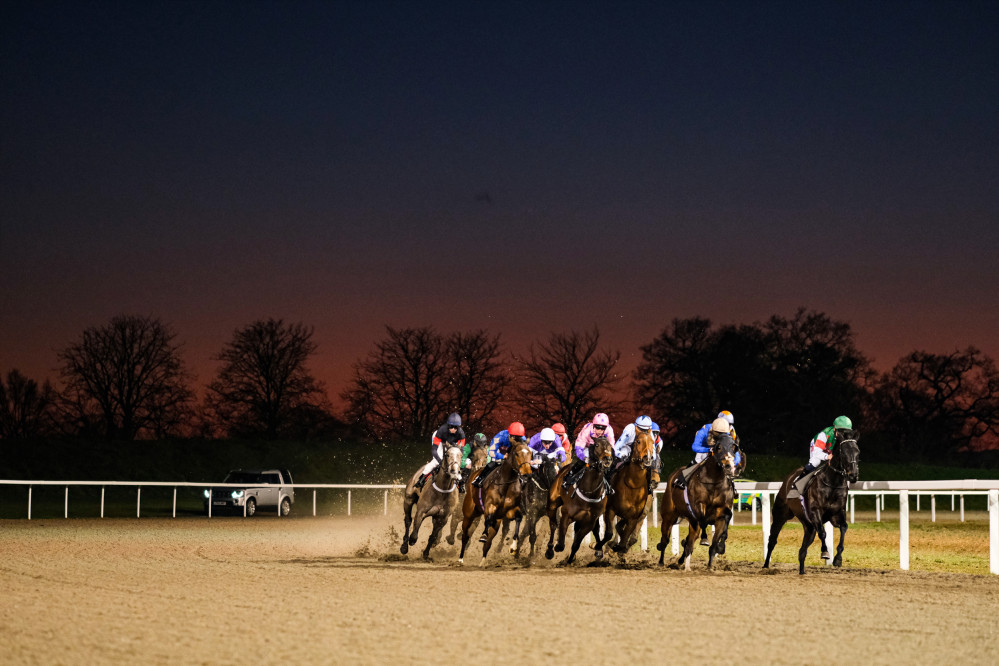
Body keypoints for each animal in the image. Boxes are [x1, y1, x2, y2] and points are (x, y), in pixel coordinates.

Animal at [596, 426, 660, 556]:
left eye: (652, 442)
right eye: (638, 441)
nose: (647, 458)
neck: (632, 485)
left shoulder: (634, 517)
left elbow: (626, 536)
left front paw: (619, 548)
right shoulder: (611, 510)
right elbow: (610, 531)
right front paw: (609, 547)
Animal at [660, 434, 740, 568]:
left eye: (734, 447)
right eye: (718, 447)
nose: (730, 466)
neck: (714, 482)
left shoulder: (721, 514)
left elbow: (715, 542)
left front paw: (712, 563)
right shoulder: (698, 506)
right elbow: (703, 520)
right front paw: (704, 539)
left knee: (689, 541)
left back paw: (682, 559)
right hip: (669, 515)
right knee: (665, 539)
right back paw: (661, 561)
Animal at [764, 434, 860, 572]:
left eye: (858, 452)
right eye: (844, 453)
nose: (853, 475)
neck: (832, 484)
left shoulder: (837, 514)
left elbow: (844, 527)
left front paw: (838, 559)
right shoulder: (815, 513)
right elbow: (823, 533)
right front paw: (825, 552)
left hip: (808, 526)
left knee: (802, 551)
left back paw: (802, 571)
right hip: (781, 515)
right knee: (772, 540)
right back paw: (766, 565)